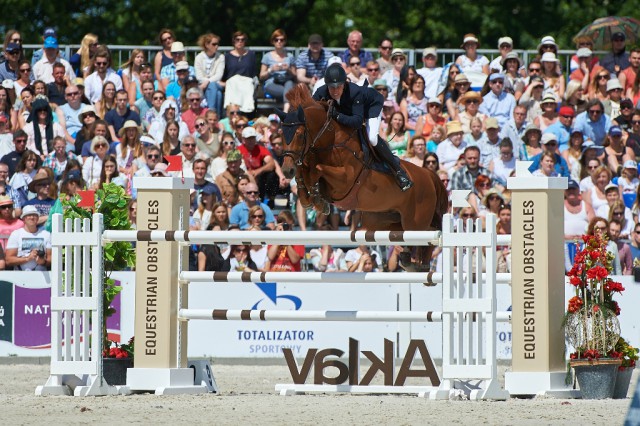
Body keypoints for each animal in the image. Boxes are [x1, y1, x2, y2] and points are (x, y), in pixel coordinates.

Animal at [276, 85, 450, 272]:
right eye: (281, 134)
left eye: (300, 135)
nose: (286, 170)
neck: (330, 140)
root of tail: (429, 176)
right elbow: (304, 173)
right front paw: (310, 198)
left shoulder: (345, 181)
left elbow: (317, 169)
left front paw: (317, 197)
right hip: (387, 221)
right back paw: (415, 263)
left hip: (415, 221)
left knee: (430, 233)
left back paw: (416, 263)